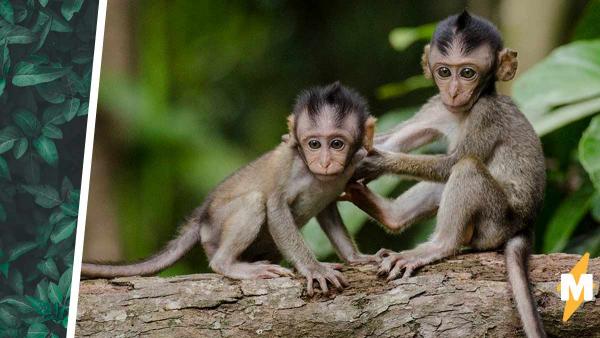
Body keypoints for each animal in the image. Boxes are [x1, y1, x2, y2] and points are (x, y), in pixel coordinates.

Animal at [82, 83, 378, 298]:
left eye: (337, 144)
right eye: (314, 144)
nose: (325, 162)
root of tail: (202, 216)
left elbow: (328, 210)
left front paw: (357, 258)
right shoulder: (289, 166)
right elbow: (275, 207)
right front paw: (314, 268)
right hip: (215, 229)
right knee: (254, 202)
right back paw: (228, 264)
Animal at [346, 10, 548, 338]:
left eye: (467, 73)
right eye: (444, 72)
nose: (453, 91)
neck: (463, 111)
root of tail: (525, 225)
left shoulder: (486, 114)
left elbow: (451, 163)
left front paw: (378, 162)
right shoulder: (437, 107)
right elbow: (394, 140)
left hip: (495, 223)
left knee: (465, 168)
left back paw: (439, 246)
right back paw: (389, 214)